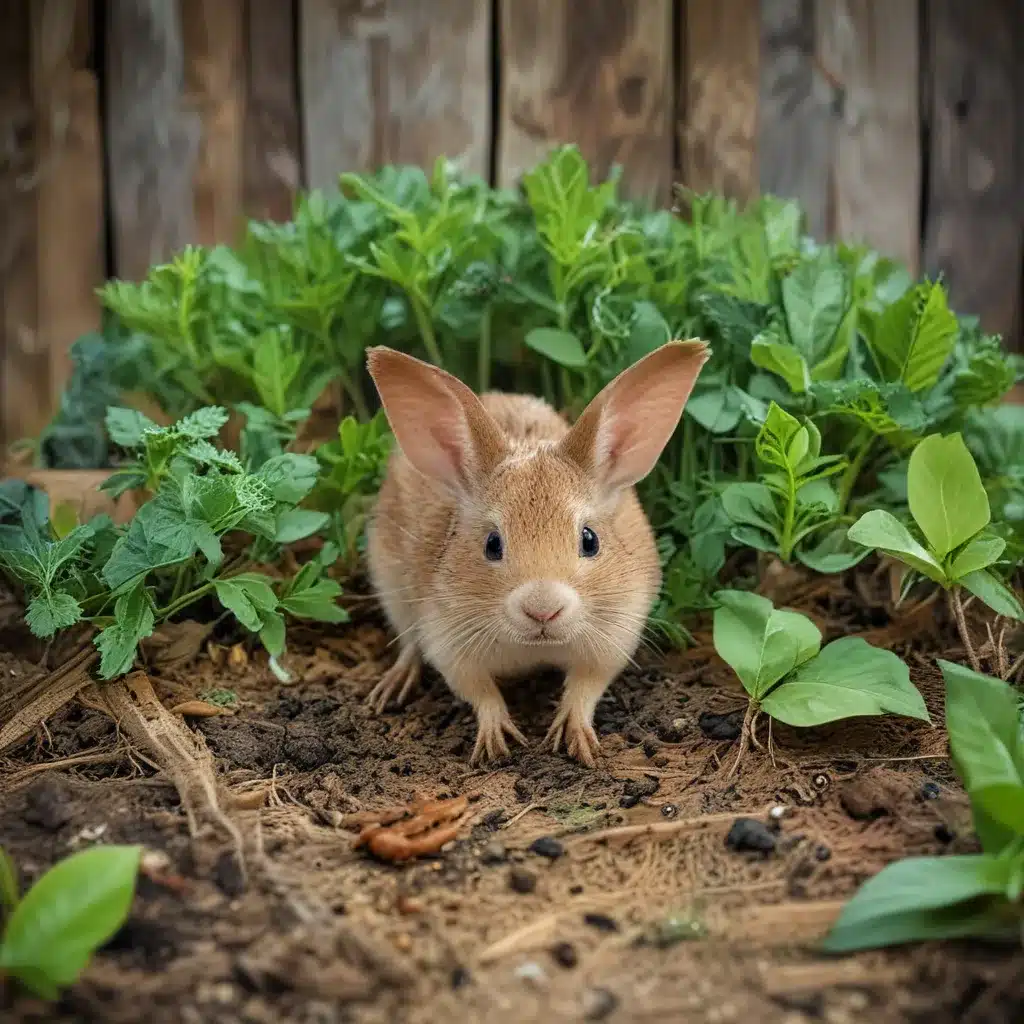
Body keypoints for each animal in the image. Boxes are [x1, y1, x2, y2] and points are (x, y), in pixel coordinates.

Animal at [364, 339, 708, 765]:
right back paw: (392, 686)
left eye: (589, 540)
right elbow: (481, 693)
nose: (542, 609)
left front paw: (576, 736)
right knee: (408, 643)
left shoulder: (613, 638)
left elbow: (585, 688)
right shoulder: (448, 642)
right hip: (390, 584)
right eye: (492, 544)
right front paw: (497, 740)